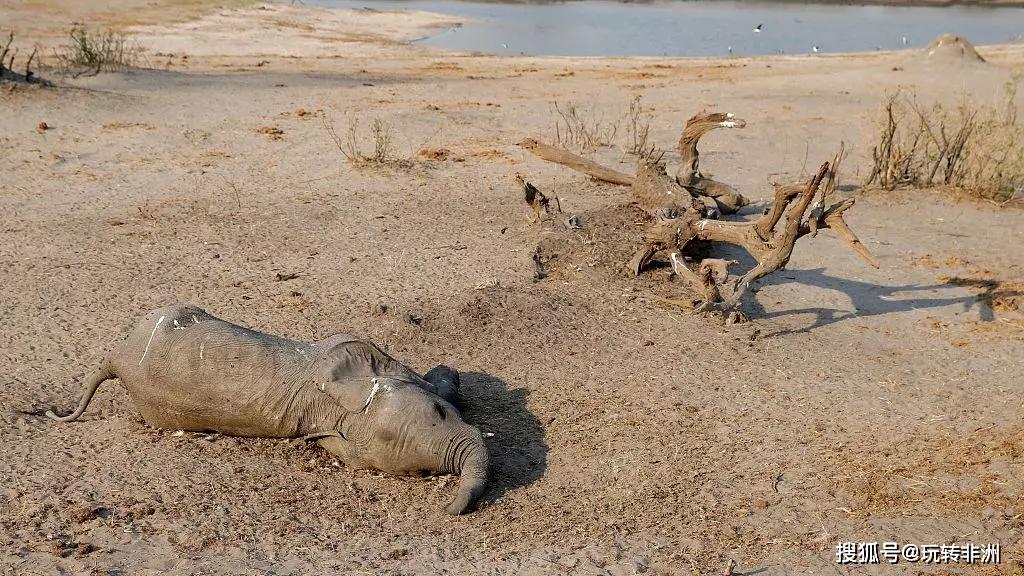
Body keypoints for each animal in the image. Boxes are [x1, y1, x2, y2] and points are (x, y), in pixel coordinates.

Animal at [49, 303, 489, 512]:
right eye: (438, 414)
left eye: (422, 473)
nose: (447, 511)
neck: (338, 408)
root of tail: (115, 359)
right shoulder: (344, 344)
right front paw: (449, 376)